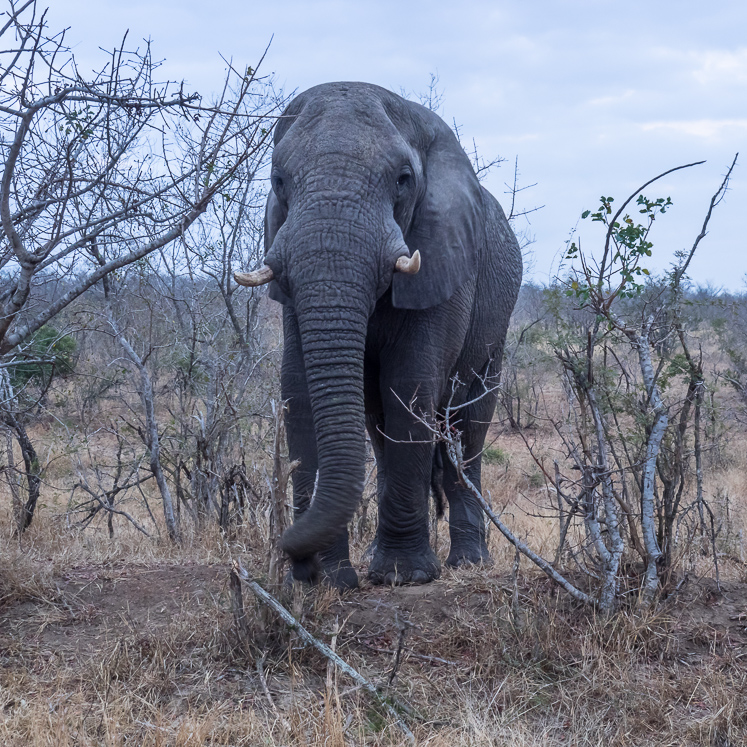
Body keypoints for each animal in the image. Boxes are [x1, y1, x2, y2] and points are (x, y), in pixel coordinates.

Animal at [235, 82, 522, 589]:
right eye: (278, 181)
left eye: (403, 179)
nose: (294, 557)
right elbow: (299, 386)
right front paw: (328, 581)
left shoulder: (443, 257)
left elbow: (409, 383)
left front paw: (405, 576)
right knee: (377, 424)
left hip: (497, 321)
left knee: (467, 424)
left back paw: (468, 563)